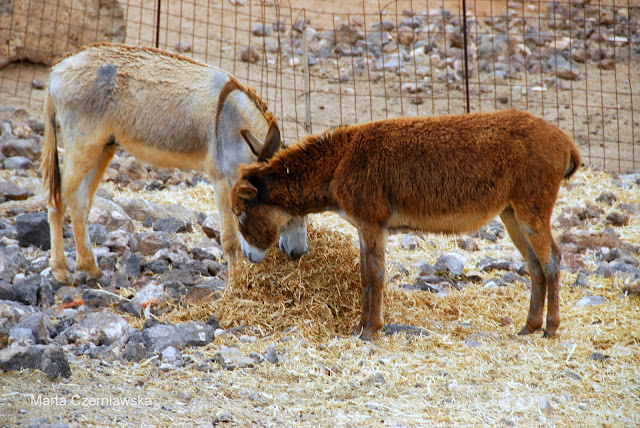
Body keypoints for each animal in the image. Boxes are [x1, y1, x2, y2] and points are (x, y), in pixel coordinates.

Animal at [41, 43, 308, 285]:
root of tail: (56, 70)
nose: (299, 253)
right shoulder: (222, 180)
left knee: (80, 202)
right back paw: (61, 271)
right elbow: (230, 241)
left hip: (105, 146)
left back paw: (91, 269)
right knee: (57, 200)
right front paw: (234, 288)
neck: (233, 123)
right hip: (84, 145)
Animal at [231, 109, 581, 340]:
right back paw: (530, 326)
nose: (248, 257)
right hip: (511, 214)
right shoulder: (364, 226)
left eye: (238, 212)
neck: (339, 162)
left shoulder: (372, 222)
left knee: (552, 261)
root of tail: (565, 140)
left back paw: (551, 328)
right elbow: (365, 275)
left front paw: (370, 331)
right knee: (535, 265)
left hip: (531, 211)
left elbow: (374, 275)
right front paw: (361, 326)